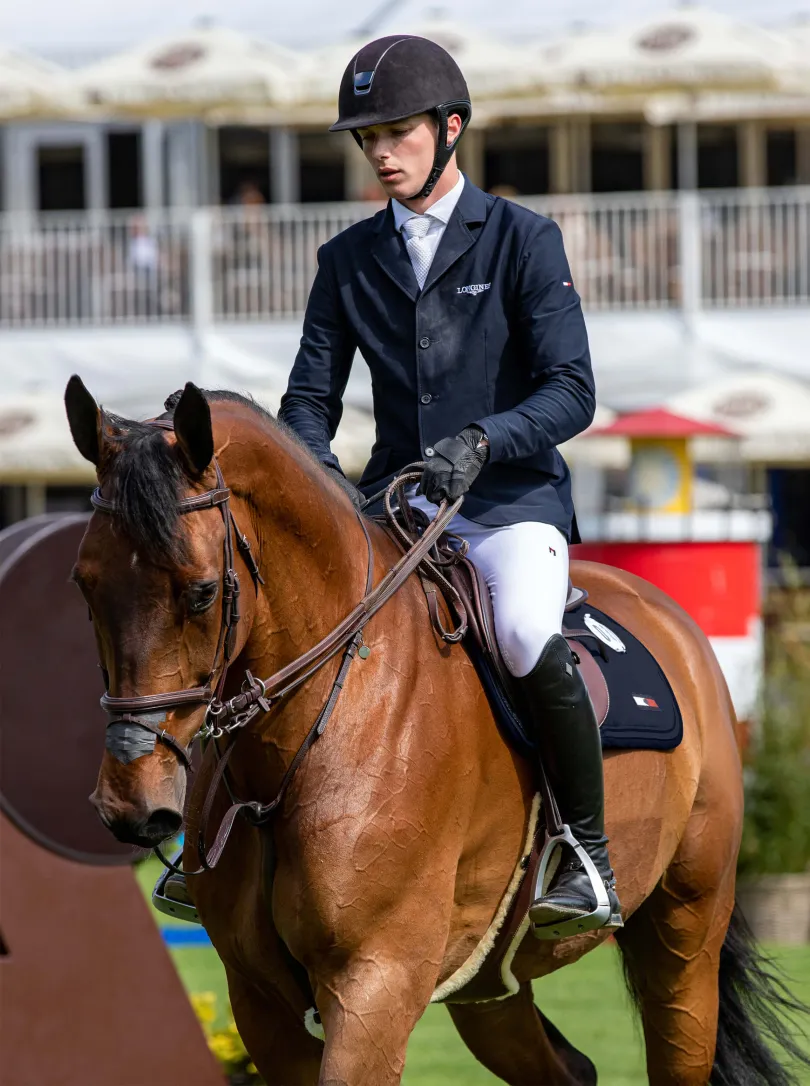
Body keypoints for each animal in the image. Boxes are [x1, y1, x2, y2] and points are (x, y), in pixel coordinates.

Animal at [66, 380, 803, 1086]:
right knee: (565, 1067)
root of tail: (672, 622)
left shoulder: (374, 984)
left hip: (684, 938)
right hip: (489, 985)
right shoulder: (263, 1005)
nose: (131, 804)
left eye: (201, 592)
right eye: (84, 584)